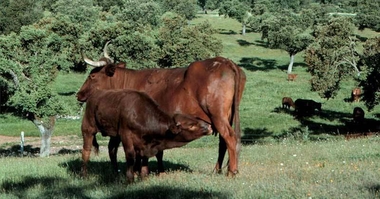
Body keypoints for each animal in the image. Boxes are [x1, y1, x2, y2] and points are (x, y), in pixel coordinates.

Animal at [81, 89, 212, 183]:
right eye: (191, 125)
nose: (210, 127)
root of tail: (95, 94)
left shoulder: (145, 144)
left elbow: (144, 159)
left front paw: (144, 177)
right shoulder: (126, 136)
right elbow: (130, 157)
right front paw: (130, 178)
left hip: (114, 135)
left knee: (112, 150)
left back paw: (115, 173)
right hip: (88, 128)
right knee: (86, 151)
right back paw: (84, 174)